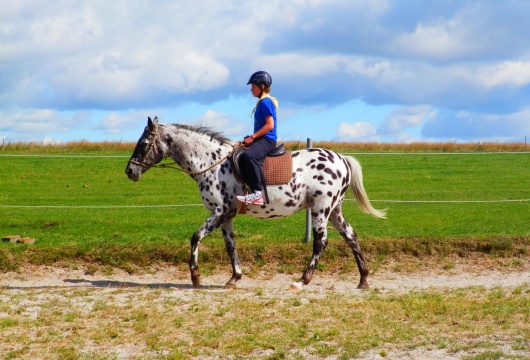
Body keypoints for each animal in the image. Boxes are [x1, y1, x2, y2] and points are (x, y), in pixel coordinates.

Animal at [126, 116, 386, 292]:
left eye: (144, 142)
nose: (129, 171)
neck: (211, 162)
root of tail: (341, 158)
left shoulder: (219, 211)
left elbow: (196, 236)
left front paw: (195, 276)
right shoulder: (226, 216)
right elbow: (230, 246)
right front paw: (234, 278)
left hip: (320, 209)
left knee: (321, 242)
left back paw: (302, 280)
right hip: (334, 211)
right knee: (351, 236)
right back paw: (363, 279)